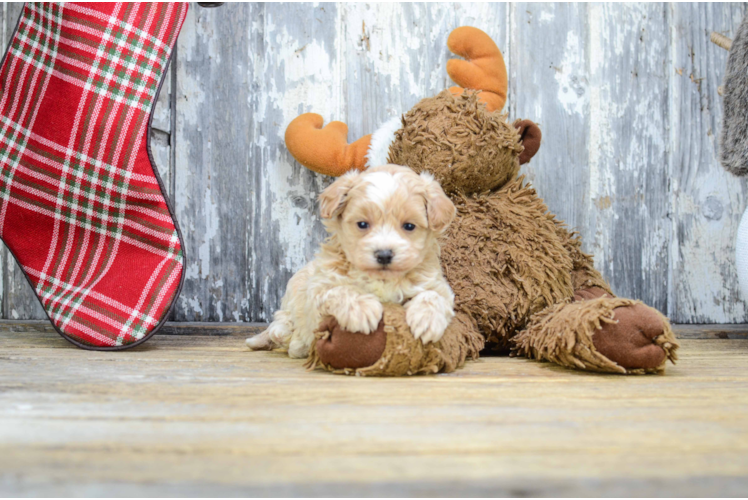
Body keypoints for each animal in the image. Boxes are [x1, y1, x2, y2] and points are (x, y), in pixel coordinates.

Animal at [245, 164, 456, 360]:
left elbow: (433, 296)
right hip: (293, 291)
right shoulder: (317, 290)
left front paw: (427, 320)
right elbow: (340, 290)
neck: (382, 279)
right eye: (362, 224)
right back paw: (289, 337)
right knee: (283, 319)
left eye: (409, 226)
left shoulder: (437, 284)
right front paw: (362, 310)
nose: (384, 254)